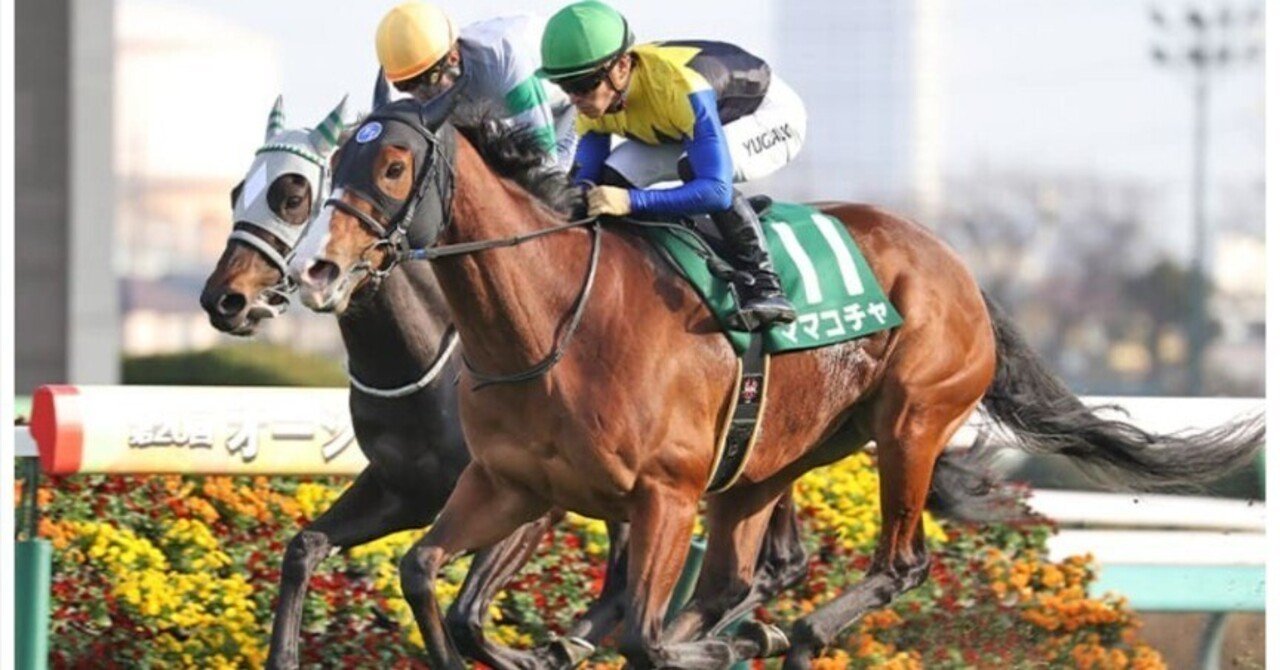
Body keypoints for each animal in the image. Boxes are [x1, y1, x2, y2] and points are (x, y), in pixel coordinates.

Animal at [198, 94, 814, 669]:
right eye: (235, 193)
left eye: (292, 195)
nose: (224, 299)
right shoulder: (406, 489)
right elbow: (306, 548)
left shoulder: (535, 502)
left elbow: (467, 612)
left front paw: (528, 654)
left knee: (769, 564)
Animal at [290, 98, 1264, 669]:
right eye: (331, 169)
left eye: (391, 167)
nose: (315, 270)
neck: (552, 320)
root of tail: (956, 266)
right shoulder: (509, 484)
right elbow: (427, 578)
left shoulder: (662, 494)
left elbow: (641, 632)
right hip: (767, 462)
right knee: (745, 576)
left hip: (909, 423)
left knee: (897, 563)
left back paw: (790, 635)